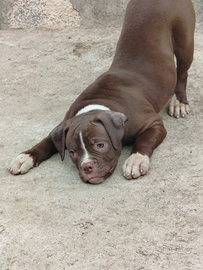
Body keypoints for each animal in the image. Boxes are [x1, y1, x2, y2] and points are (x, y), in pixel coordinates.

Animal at [8, 0, 196, 184]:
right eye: (72, 151)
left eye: (100, 145)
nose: (87, 167)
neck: (100, 103)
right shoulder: (62, 126)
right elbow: (46, 141)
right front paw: (25, 157)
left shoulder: (154, 124)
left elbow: (144, 140)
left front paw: (135, 160)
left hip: (184, 41)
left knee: (182, 72)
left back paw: (179, 102)